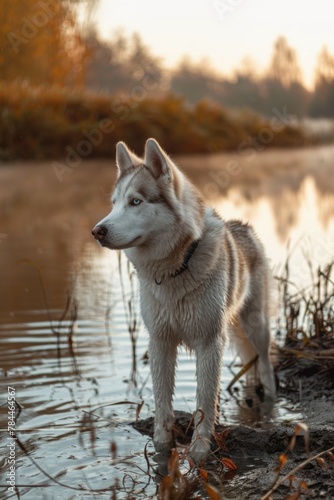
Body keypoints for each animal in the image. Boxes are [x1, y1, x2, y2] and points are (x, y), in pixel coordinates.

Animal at [92, 139, 276, 462]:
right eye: (114, 203)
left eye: (136, 202)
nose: (97, 231)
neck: (174, 269)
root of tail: (243, 226)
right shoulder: (160, 341)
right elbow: (163, 401)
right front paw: (162, 448)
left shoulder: (209, 341)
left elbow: (204, 401)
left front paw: (200, 450)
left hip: (256, 327)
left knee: (265, 364)